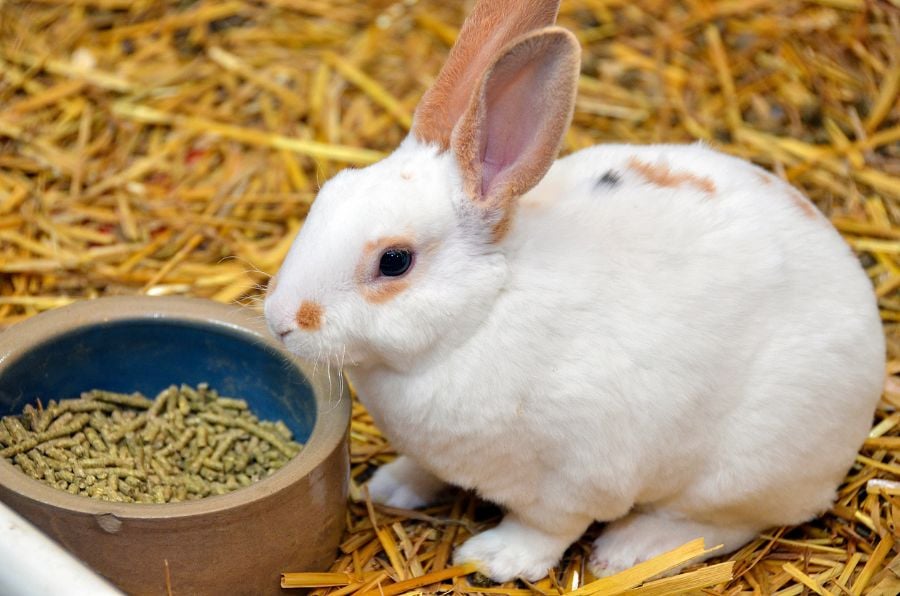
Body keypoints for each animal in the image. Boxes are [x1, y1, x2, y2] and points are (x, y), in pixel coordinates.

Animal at [264, 0, 884, 584]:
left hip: (741, 470)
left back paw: (629, 550)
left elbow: (547, 527)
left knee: (722, 526)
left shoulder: (575, 475)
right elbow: (425, 469)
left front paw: (496, 558)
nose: (281, 320)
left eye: (394, 261)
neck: (481, 314)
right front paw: (388, 486)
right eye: (330, 192)